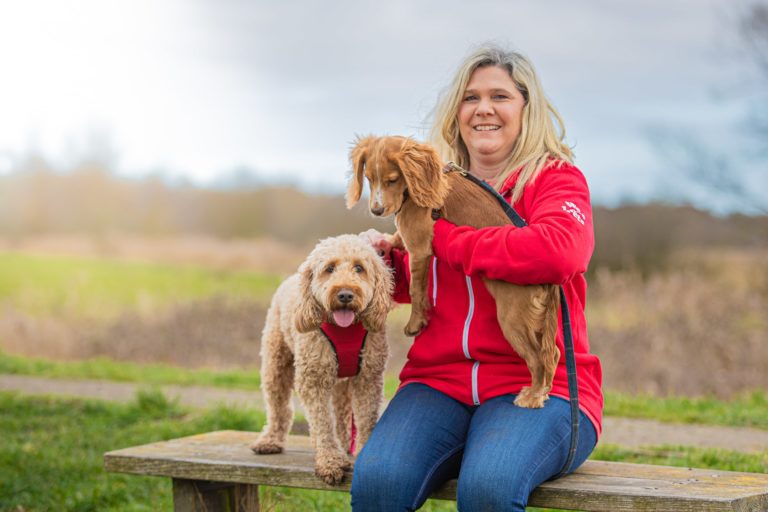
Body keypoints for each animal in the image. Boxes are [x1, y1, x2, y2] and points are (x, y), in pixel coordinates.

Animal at [252, 234, 392, 486]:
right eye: (329, 268)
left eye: (359, 268)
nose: (345, 294)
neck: (344, 328)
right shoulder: (313, 379)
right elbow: (323, 423)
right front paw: (330, 462)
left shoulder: (367, 378)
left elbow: (365, 419)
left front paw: (361, 453)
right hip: (275, 363)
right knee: (279, 406)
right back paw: (270, 440)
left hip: (341, 384)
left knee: (342, 414)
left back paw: (345, 446)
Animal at [346, 135, 560, 408]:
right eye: (369, 178)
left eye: (392, 179)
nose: (376, 210)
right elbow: (396, 240)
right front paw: (381, 242)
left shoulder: (420, 246)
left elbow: (416, 290)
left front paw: (416, 323)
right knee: (553, 354)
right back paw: (543, 391)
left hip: (514, 320)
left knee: (538, 358)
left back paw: (533, 396)